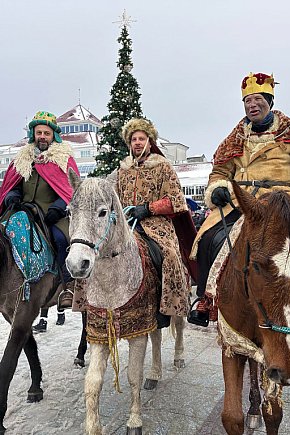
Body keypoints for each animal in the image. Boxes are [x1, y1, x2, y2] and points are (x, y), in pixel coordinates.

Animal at [65, 172, 185, 435]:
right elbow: (92, 383)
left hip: (176, 298)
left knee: (179, 326)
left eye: (102, 212)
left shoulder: (138, 330)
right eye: (70, 211)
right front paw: (93, 427)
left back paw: (178, 358)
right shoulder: (100, 334)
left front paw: (134, 421)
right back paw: (155, 374)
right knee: (157, 338)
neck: (112, 284)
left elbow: (132, 376)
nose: (77, 264)